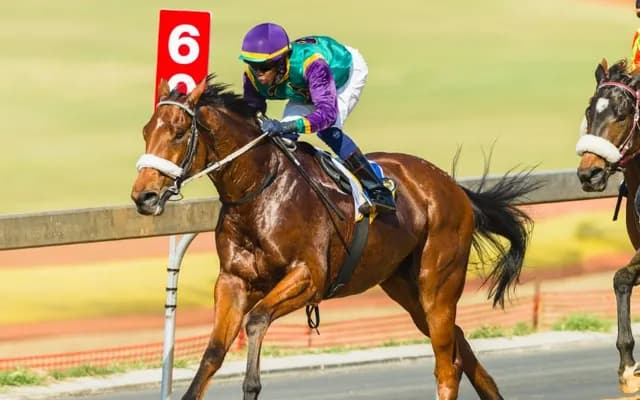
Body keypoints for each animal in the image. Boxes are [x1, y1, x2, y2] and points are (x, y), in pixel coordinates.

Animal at [131, 75, 537, 400]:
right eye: (146, 131)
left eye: (179, 132)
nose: (143, 196)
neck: (259, 190)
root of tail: (453, 188)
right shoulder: (232, 280)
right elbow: (212, 354)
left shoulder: (308, 277)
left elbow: (257, 321)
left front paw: (252, 383)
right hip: (404, 286)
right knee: (459, 345)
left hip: (438, 283)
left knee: (446, 365)